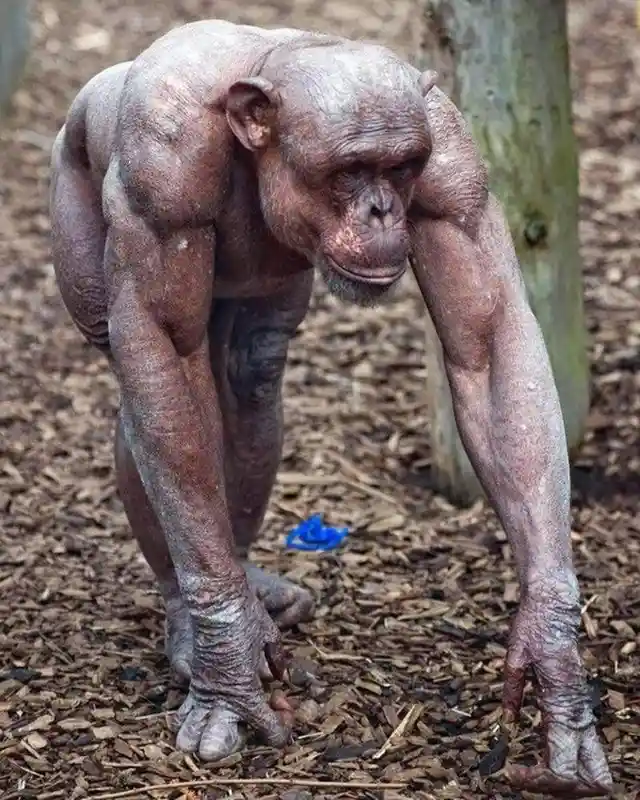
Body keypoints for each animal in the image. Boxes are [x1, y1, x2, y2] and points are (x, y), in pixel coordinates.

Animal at [49, 19, 612, 797]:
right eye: (351, 170)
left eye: (402, 167)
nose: (381, 209)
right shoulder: (159, 170)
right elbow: (163, 348)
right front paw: (227, 660)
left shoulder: (454, 172)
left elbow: (489, 340)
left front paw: (554, 657)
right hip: (73, 193)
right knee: (151, 389)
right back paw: (193, 617)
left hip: (268, 298)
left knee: (250, 374)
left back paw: (250, 582)